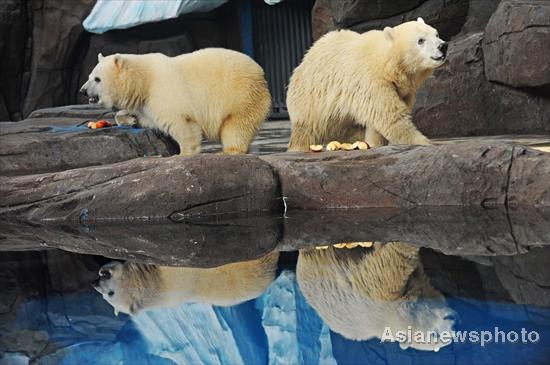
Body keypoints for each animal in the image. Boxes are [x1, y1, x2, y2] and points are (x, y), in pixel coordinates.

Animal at [79, 48, 272, 155]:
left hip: (241, 95)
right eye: (89, 76)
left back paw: (228, 151)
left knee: (237, 125)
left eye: (97, 79)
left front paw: (184, 153)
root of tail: (260, 73)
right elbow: (147, 118)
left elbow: (180, 123)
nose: (82, 90)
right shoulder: (146, 103)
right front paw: (129, 118)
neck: (143, 80)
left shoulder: (163, 92)